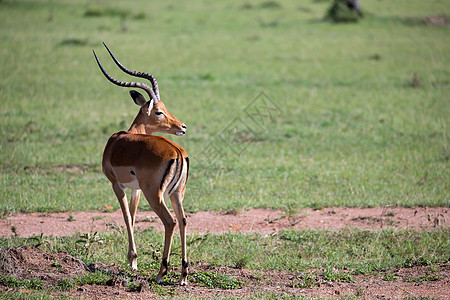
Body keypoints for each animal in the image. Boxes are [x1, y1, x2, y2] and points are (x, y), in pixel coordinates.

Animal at [92, 43, 189, 284]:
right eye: (159, 110)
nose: (183, 127)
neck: (119, 139)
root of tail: (177, 151)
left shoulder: (116, 184)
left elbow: (126, 216)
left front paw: (132, 260)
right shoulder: (134, 189)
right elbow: (134, 216)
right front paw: (132, 260)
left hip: (154, 194)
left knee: (170, 221)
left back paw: (161, 272)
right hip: (176, 194)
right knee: (183, 219)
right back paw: (183, 274)